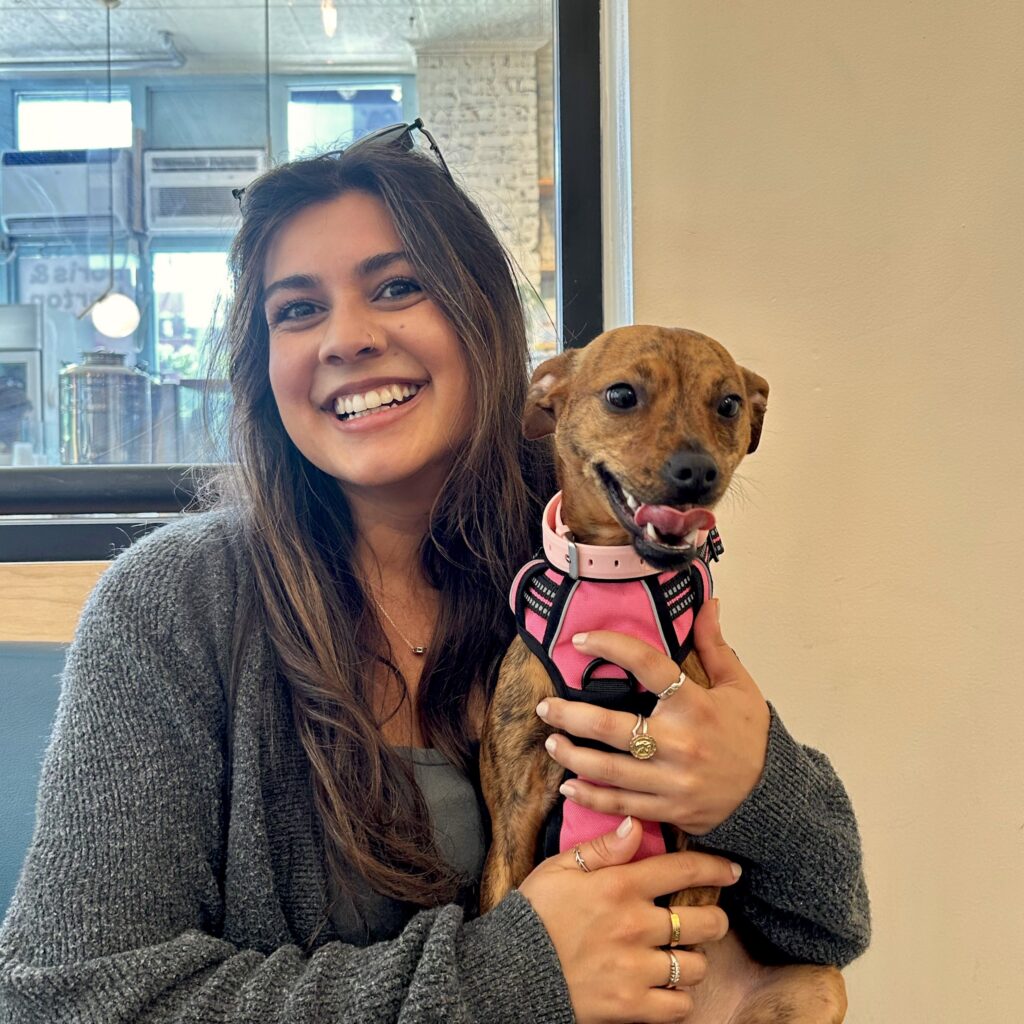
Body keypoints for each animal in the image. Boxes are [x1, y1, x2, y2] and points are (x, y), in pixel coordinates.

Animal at [479, 325, 847, 1024]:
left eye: (729, 404)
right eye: (622, 394)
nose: (697, 473)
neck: (615, 585)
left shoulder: (697, 833)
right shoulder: (514, 814)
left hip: (817, 985)